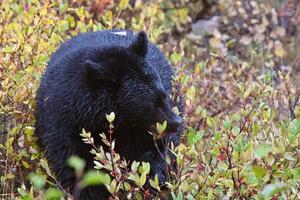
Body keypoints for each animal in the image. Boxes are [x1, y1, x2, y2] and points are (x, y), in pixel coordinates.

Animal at [36, 30, 184, 199]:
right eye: (151, 104)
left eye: (164, 95)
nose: (177, 122)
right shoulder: (62, 124)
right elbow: (71, 165)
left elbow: (156, 154)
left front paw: (151, 182)